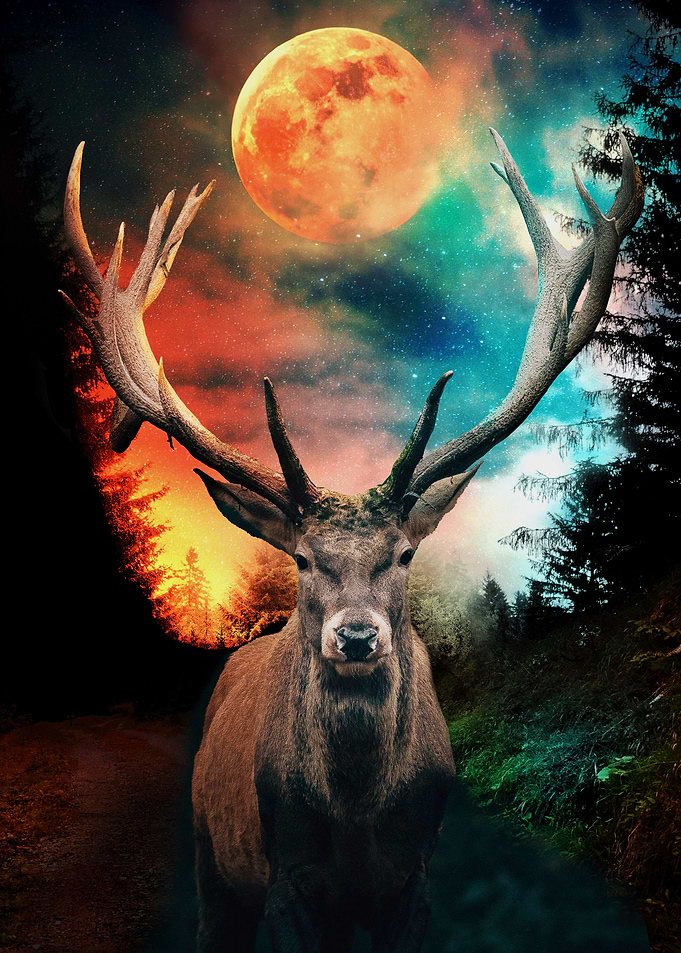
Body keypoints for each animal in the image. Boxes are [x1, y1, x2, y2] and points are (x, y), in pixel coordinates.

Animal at [60, 128, 643, 953]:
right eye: (302, 558)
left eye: (404, 554)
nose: (358, 637)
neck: (359, 823)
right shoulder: (288, 881)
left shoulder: (415, 883)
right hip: (212, 858)